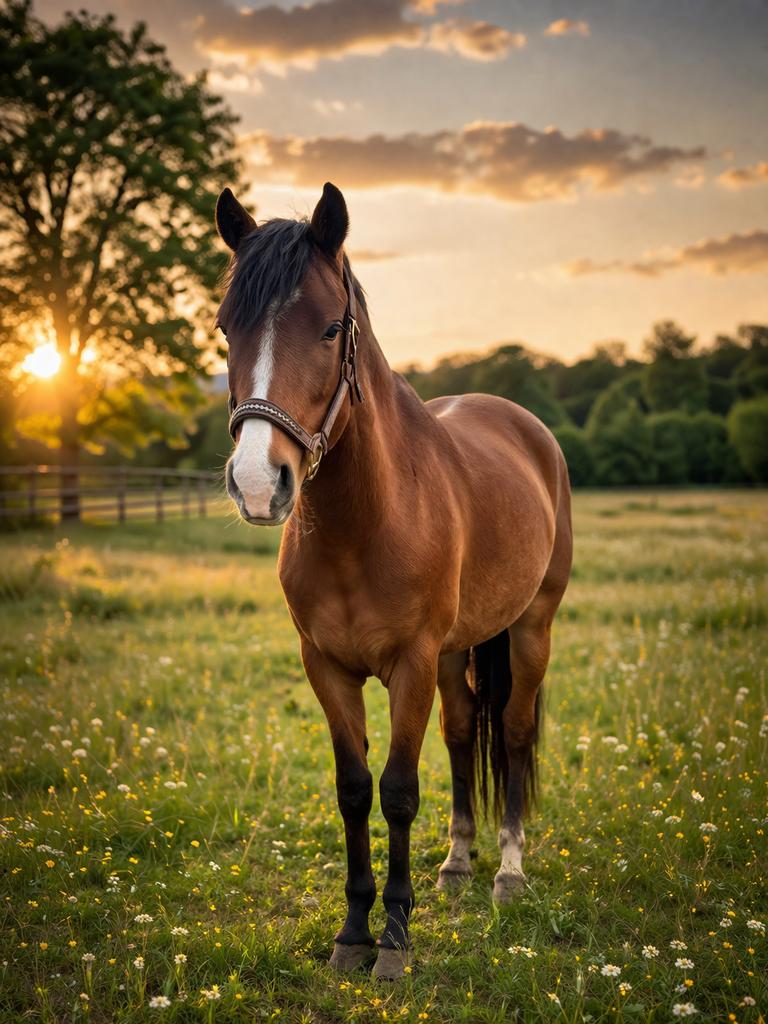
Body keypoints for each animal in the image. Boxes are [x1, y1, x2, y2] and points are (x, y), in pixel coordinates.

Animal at [215, 182, 572, 980]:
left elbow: (400, 792)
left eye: (329, 330)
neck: (365, 523)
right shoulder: (327, 667)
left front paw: (396, 938)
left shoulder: (410, 664)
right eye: (225, 328)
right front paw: (353, 930)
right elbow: (354, 791)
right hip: (454, 651)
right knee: (464, 729)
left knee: (512, 731)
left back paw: (507, 872)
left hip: (530, 629)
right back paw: (458, 864)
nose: (257, 483)